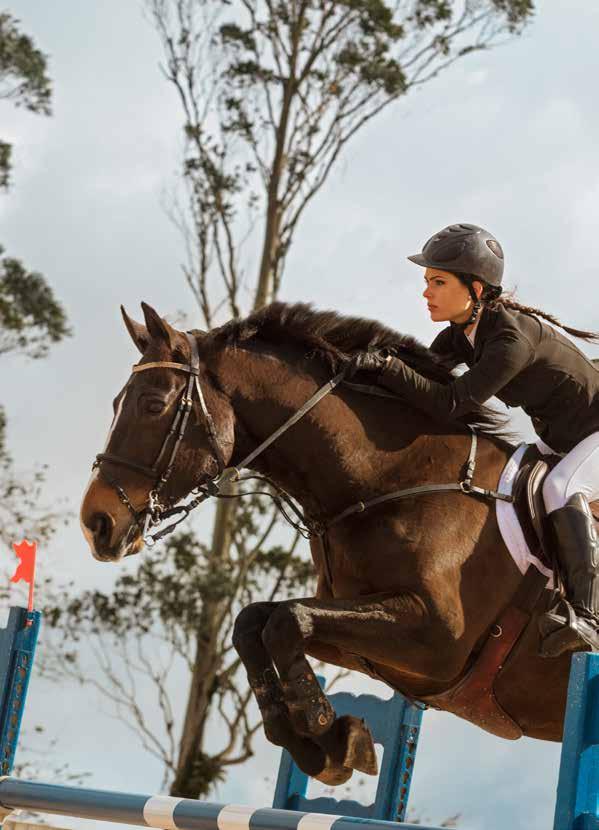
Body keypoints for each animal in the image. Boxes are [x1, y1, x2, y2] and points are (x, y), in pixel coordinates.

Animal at [79, 300, 572, 788]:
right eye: (117, 403)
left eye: (153, 404)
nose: (95, 523)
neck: (393, 477)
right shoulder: (352, 636)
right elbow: (256, 622)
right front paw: (324, 743)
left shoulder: (438, 639)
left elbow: (286, 621)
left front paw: (334, 737)